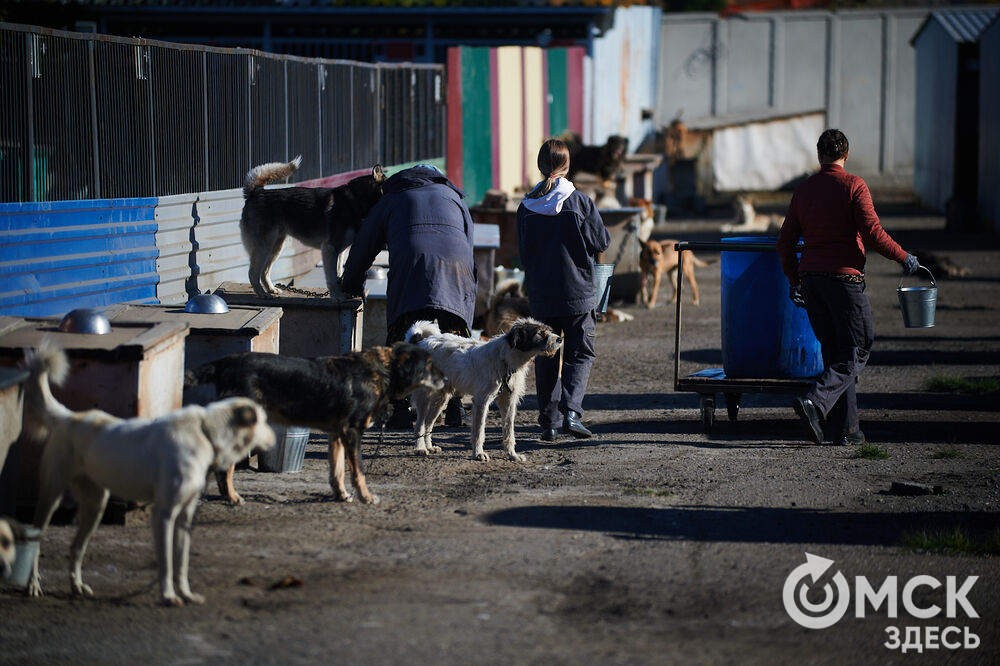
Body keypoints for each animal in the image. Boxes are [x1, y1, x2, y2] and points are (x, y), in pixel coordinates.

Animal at [22, 340, 274, 604]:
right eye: (262, 420)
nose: (275, 438)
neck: (204, 432)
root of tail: (69, 416)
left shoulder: (185, 516)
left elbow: (181, 562)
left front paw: (186, 594)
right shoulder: (163, 514)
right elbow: (166, 563)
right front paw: (168, 596)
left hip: (95, 504)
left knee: (77, 547)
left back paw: (76, 586)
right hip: (51, 495)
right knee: (35, 538)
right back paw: (33, 585)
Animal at [186, 342, 444, 504]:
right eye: (428, 364)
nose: (446, 378)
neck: (382, 370)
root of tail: (225, 363)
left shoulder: (336, 434)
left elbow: (337, 471)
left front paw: (342, 496)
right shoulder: (352, 432)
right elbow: (359, 471)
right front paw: (366, 497)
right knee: (223, 466)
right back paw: (230, 497)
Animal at [240, 156, 384, 296]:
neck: (356, 198)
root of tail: (255, 192)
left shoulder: (340, 251)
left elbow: (338, 274)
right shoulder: (329, 249)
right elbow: (332, 278)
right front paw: (337, 297)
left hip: (275, 248)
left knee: (264, 272)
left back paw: (271, 289)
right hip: (264, 247)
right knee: (252, 273)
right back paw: (262, 293)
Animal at [406, 316, 564, 462]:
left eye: (548, 330)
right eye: (540, 333)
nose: (560, 339)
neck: (504, 360)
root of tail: (422, 342)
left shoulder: (508, 402)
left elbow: (509, 432)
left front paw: (512, 455)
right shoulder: (482, 401)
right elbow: (479, 432)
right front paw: (478, 454)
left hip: (441, 399)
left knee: (428, 424)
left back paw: (429, 447)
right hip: (424, 397)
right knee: (420, 425)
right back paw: (420, 448)